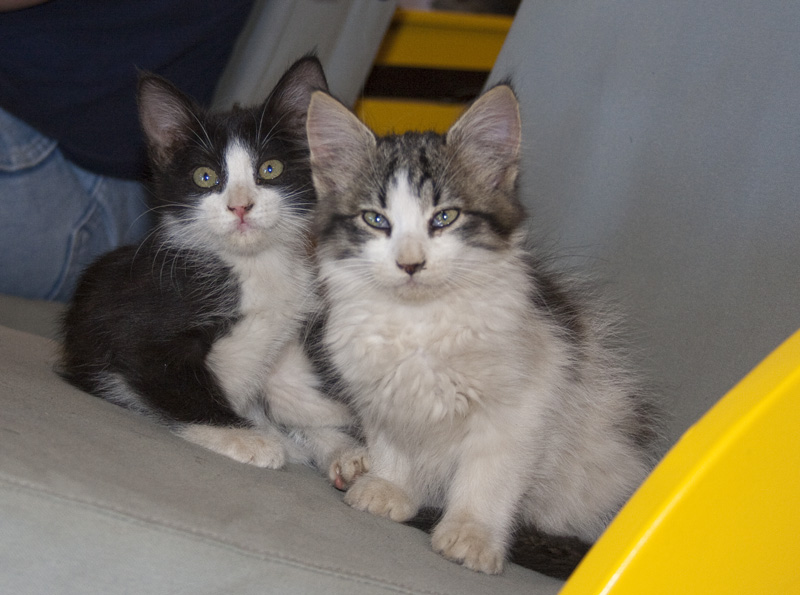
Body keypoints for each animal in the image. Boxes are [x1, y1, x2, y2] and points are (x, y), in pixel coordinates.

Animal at [64, 58, 358, 472]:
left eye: (270, 169)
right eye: (206, 177)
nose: (240, 206)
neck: (251, 267)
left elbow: (287, 395)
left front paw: (341, 444)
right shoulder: (137, 323)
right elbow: (178, 383)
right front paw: (247, 437)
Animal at [304, 86, 660, 576]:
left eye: (445, 217)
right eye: (376, 220)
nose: (410, 264)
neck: (420, 322)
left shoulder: (520, 406)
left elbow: (488, 477)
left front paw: (472, 535)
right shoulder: (382, 392)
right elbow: (393, 443)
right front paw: (390, 485)